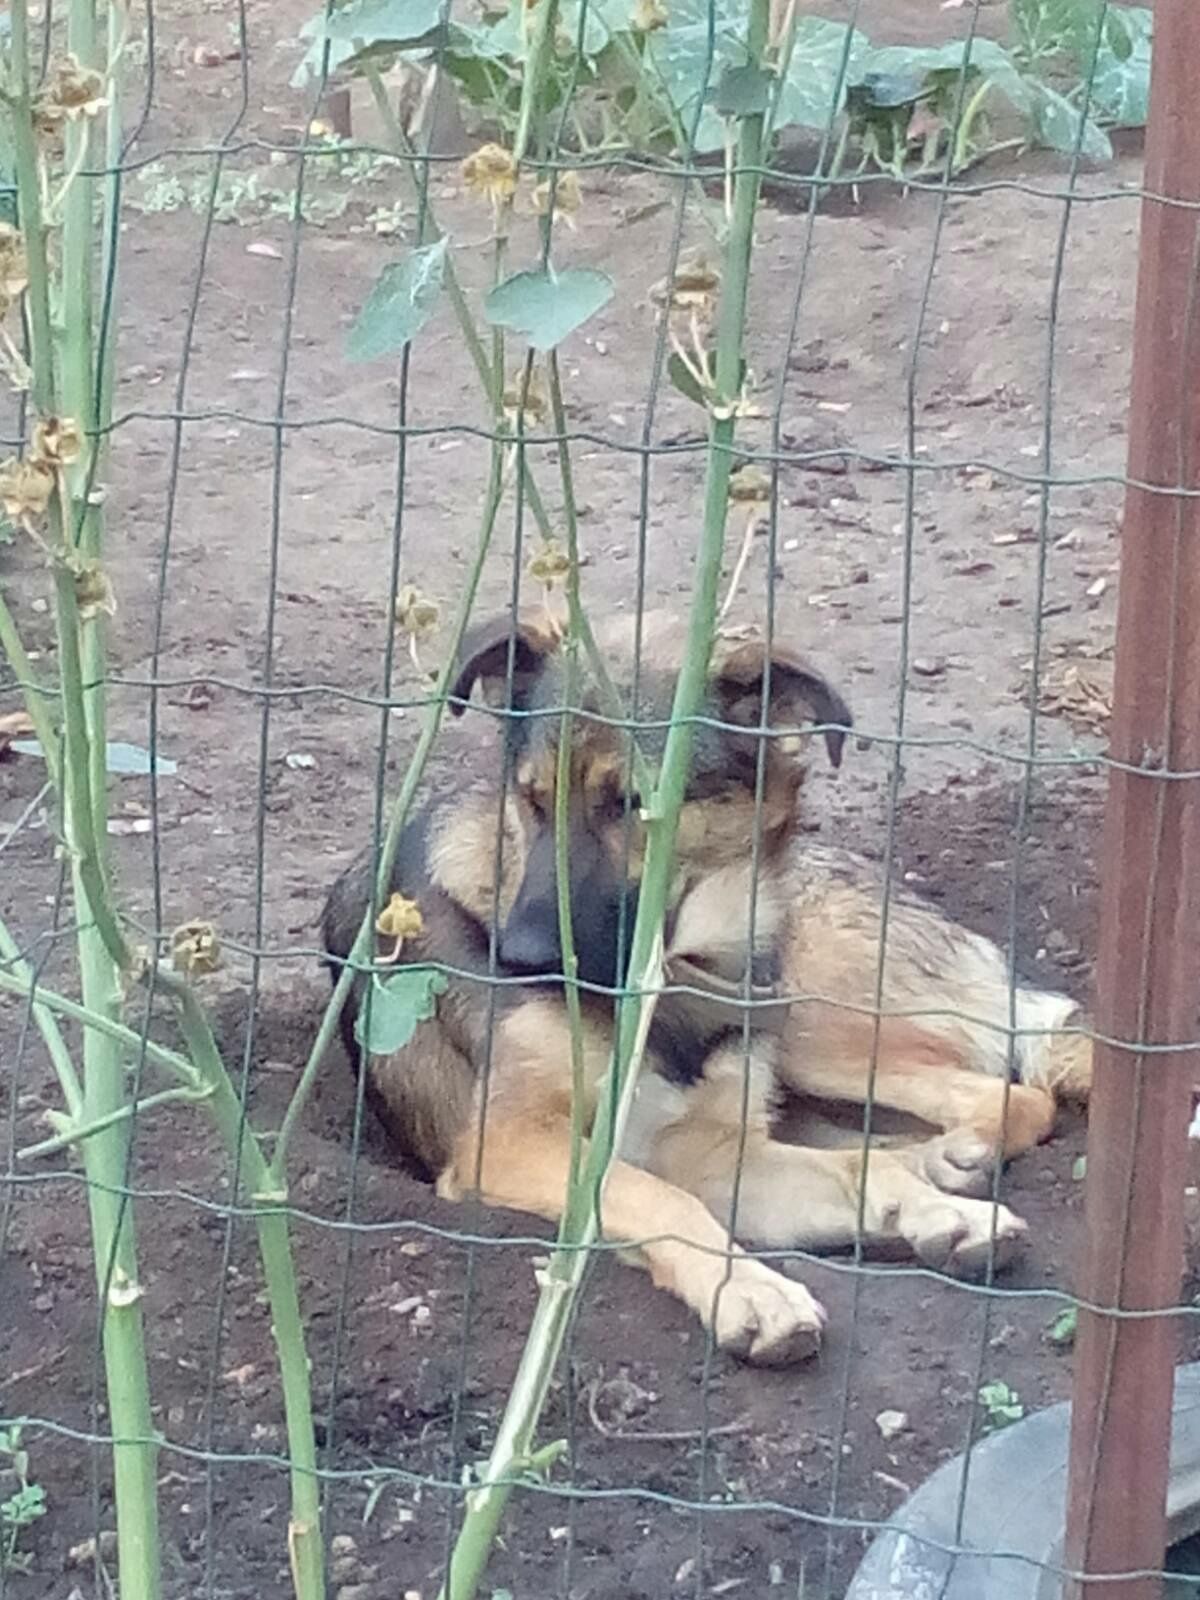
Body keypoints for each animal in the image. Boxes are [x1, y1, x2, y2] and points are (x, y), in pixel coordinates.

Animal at [324, 608, 1094, 1363]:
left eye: (633, 804)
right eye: (533, 799)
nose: (518, 958)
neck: (660, 989)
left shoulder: (701, 1149)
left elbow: (814, 1173)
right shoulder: (514, 1143)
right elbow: (657, 1195)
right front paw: (754, 1293)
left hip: (809, 1014)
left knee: (1004, 1096)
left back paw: (946, 1177)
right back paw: (937, 1167)